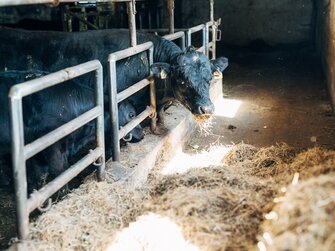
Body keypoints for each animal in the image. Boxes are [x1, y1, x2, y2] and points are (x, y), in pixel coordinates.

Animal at [0, 70, 143, 192]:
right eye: (131, 114)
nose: (142, 133)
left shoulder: (35, 152)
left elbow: (40, 177)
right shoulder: (53, 148)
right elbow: (61, 175)